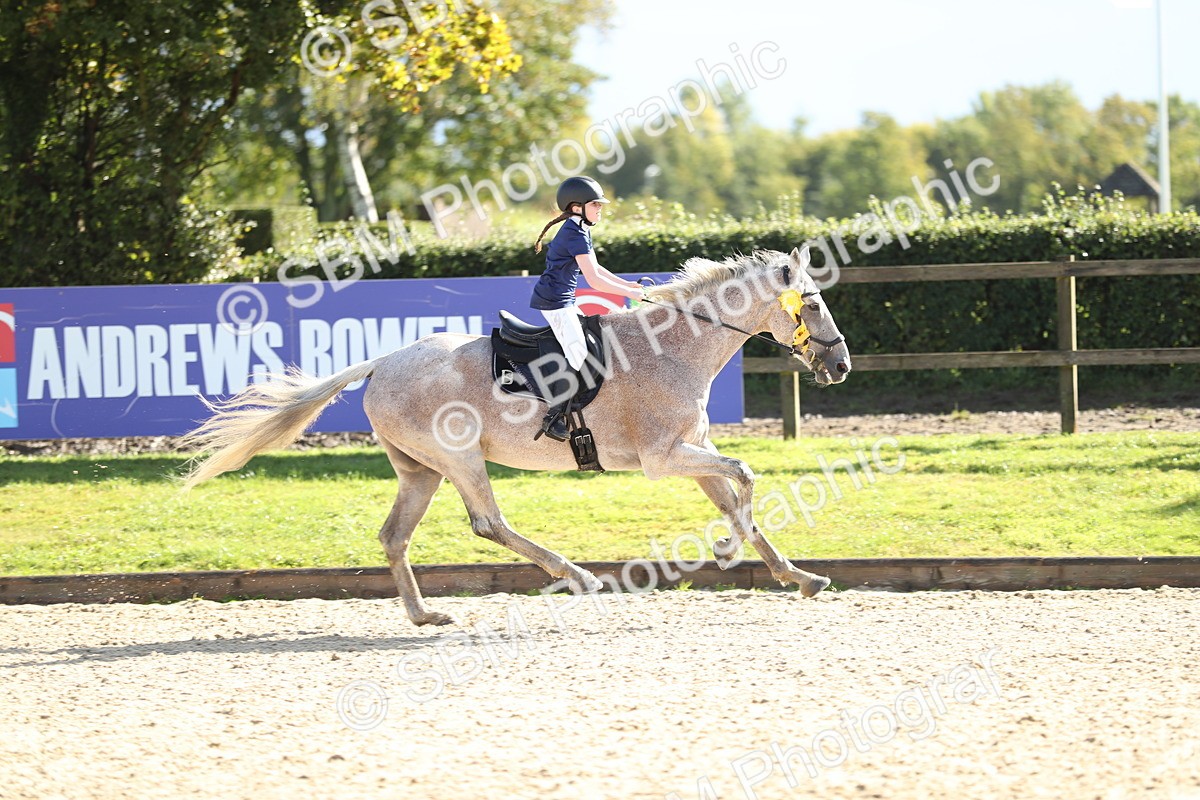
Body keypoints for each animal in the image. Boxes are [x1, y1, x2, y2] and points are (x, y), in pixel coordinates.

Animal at [180, 245, 852, 625]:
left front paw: (796, 576)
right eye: (814, 303)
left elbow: (738, 501)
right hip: (458, 458)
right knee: (489, 523)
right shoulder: (665, 458)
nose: (841, 365)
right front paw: (724, 552)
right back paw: (578, 576)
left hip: (420, 471)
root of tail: (383, 361)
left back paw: (424, 615)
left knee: (395, 536)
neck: (677, 347)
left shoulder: (694, 451)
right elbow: (745, 478)